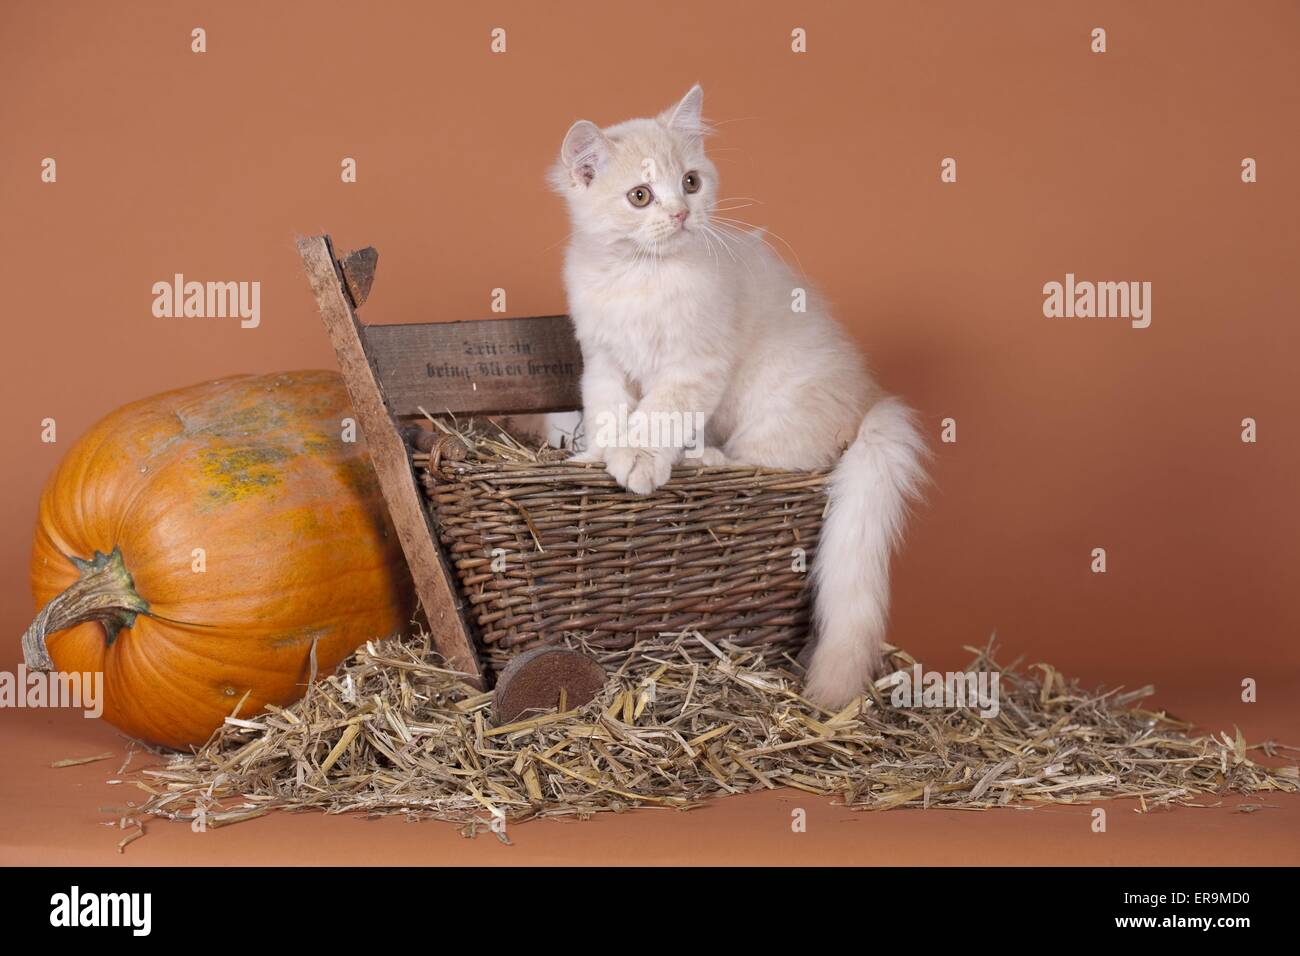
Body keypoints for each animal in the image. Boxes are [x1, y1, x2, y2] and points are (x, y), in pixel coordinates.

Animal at [546, 85, 925, 707]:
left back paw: (704, 458)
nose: (681, 213)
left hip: (775, 415)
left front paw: (639, 461)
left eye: (691, 182)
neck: (640, 277)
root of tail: (872, 400)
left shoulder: (693, 366)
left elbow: (657, 416)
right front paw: (596, 456)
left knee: (767, 461)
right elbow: (608, 413)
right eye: (640, 196)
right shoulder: (603, 361)